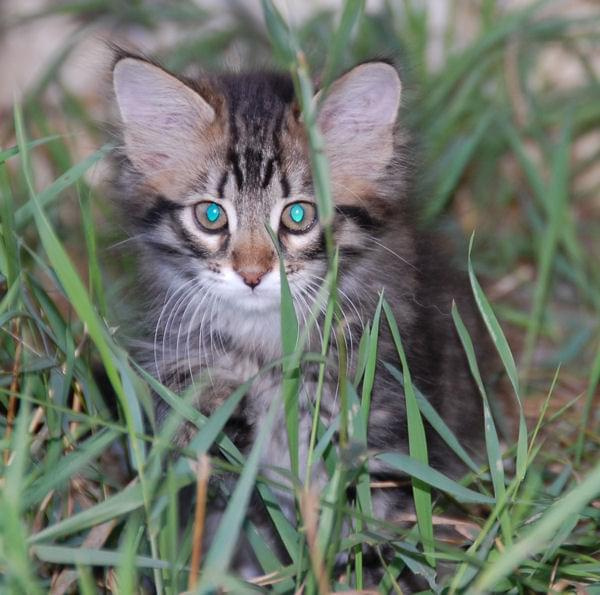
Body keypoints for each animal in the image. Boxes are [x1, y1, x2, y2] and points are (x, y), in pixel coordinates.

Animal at [112, 53, 492, 576]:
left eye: (297, 216)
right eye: (211, 216)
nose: (252, 273)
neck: (267, 345)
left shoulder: (383, 426)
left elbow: (366, 527)